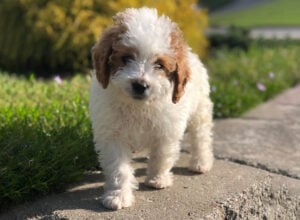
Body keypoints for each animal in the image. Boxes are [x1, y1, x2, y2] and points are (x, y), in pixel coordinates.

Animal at [89, 6, 213, 210]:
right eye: (126, 58)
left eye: (159, 65)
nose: (140, 85)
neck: (139, 106)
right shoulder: (112, 135)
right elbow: (119, 168)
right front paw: (118, 196)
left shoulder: (167, 131)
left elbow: (161, 156)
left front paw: (157, 179)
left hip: (200, 109)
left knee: (201, 136)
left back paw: (201, 162)